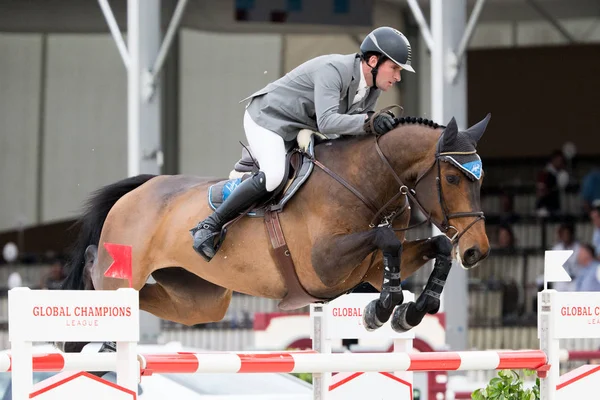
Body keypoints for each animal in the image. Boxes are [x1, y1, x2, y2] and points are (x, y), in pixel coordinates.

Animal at [58, 110, 492, 354]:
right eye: (453, 177)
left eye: (480, 179)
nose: (477, 251)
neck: (365, 183)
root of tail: (139, 189)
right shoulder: (325, 263)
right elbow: (387, 243)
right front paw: (381, 309)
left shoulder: (368, 268)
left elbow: (436, 245)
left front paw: (412, 311)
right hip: (127, 269)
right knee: (99, 273)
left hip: (199, 300)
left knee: (146, 299)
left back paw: (80, 342)